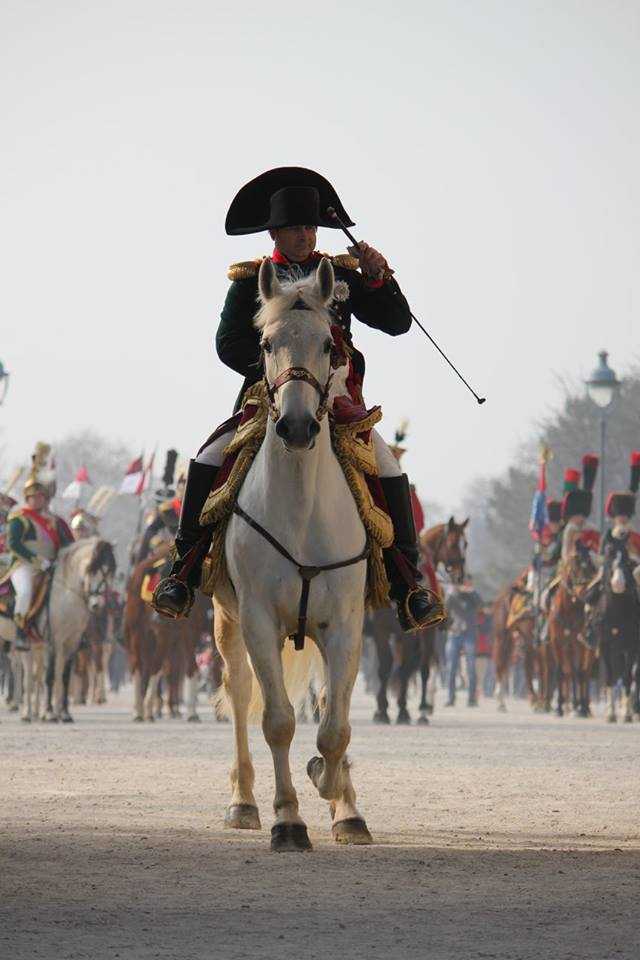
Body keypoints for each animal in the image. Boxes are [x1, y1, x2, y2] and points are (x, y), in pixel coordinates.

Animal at [0, 540, 115, 720]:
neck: (66, 595)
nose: (97, 604)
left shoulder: (71, 643)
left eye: (109, 571)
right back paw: (25, 710)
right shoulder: (53, 642)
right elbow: (50, 676)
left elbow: (63, 675)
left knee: (29, 673)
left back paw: (30, 711)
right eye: (91, 569)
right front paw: (49, 712)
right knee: (25, 672)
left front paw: (64, 713)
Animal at [214, 258, 372, 852]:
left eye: (330, 343)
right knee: (239, 695)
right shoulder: (259, 619)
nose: (298, 426)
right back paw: (243, 803)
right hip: (227, 621)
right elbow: (278, 721)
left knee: (328, 705)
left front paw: (338, 796)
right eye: (265, 342)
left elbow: (334, 726)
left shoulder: (345, 624)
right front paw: (288, 819)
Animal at [548, 544, 596, 716]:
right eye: (575, 563)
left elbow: (580, 671)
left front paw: (582, 708)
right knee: (570, 672)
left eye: (591, 565)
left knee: (584, 672)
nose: (584, 589)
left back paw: (583, 705)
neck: (568, 608)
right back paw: (571, 705)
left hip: (587, 647)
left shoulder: (578, 642)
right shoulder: (557, 642)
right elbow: (561, 672)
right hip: (566, 647)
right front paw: (559, 707)